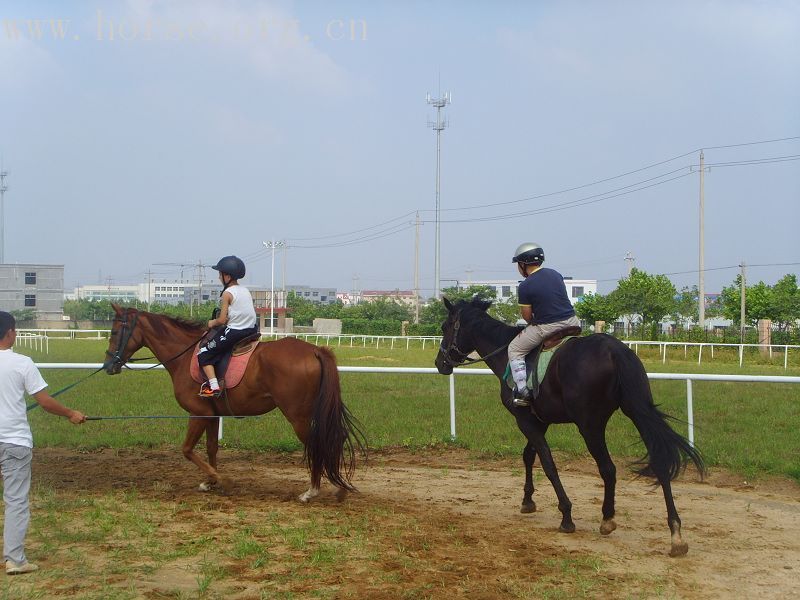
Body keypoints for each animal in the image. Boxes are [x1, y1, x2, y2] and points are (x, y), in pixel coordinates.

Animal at [104, 304, 364, 502]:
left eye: (115, 332)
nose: (109, 365)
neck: (185, 355)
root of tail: (315, 350)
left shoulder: (197, 413)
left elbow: (187, 449)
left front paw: (223, 480)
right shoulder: (211, 415)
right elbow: (211, 448)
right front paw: (210, 481)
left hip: (298, 416)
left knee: (318, 444)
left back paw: (312, 491)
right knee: (334, 438)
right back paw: (338, 486)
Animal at [434, 298, 704, 556]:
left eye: (445, 327)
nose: (440, 363)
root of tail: (615, 350)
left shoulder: (525, 420)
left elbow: (548, 464)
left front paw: (565, 514)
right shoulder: (539, 421)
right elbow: (528, 455)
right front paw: (528, 500)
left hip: (590, 426)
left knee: (608, 469)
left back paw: (608, 518)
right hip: (637, 412)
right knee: (660, 461)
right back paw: (675, 533)